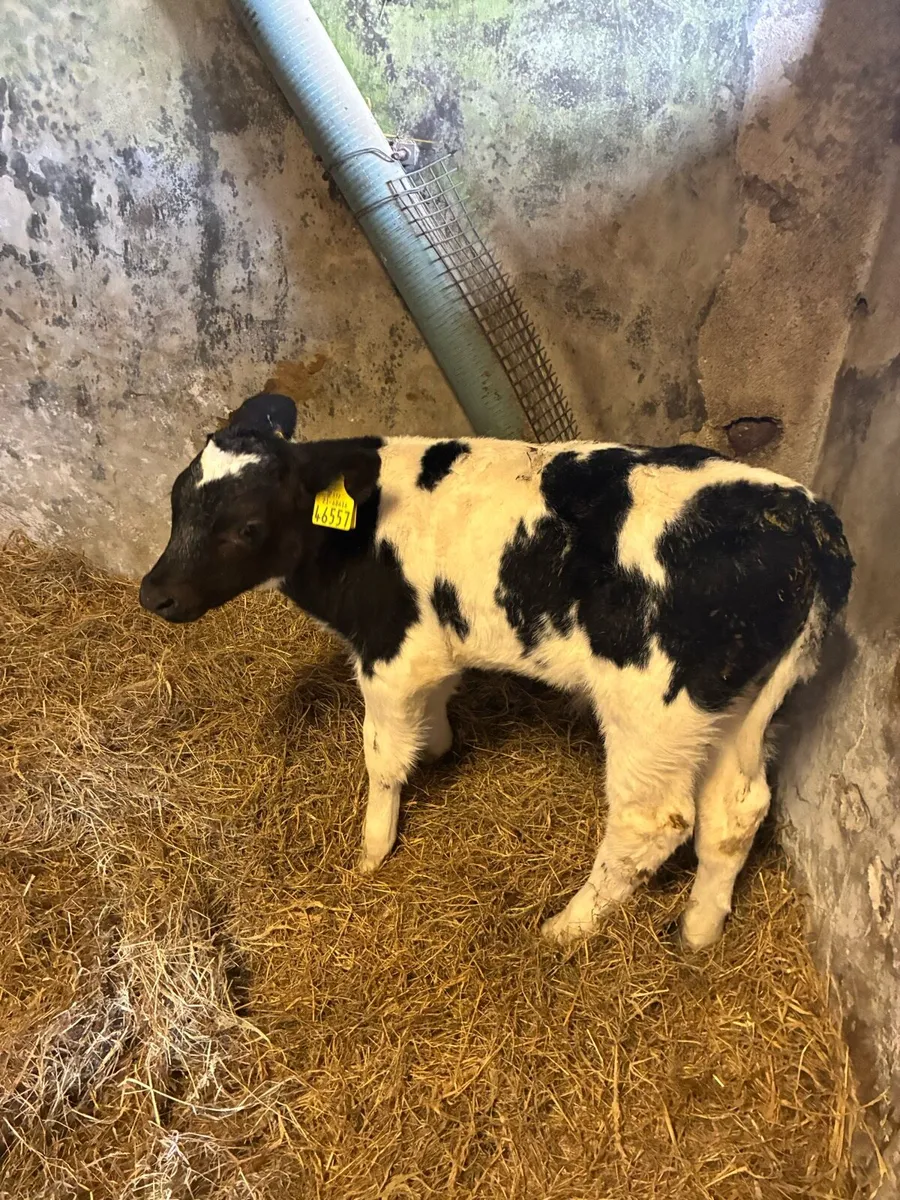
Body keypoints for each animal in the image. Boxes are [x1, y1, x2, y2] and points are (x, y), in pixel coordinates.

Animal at [139, 393, 853, 950]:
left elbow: (381, 756)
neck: (362, 533)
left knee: (653, 821)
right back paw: (697, 932)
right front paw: (436, 748)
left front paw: (372, 851)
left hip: (654, 708)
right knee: (736, 809)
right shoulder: (434, 650)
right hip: (737, 703)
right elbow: (433, 716)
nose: (155, 594)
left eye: (246, 526)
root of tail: (805, 518)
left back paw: (568, 926)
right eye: (175, 502)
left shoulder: (391, 653)